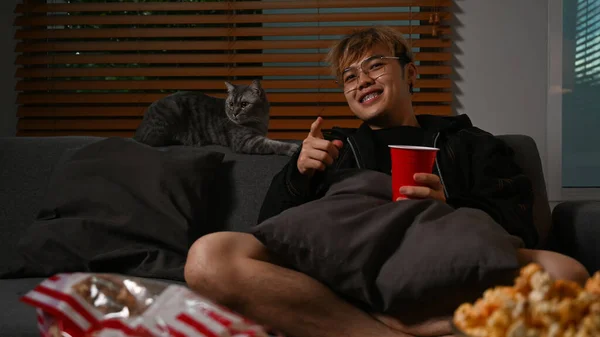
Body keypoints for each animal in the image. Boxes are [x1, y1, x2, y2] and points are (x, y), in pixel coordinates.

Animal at [134, 79, 298, 156]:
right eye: (231, 104)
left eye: (244, 104)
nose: (234, 113)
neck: (260, 120)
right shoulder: (245, 141)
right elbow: (272, 144)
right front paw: (291, 147)